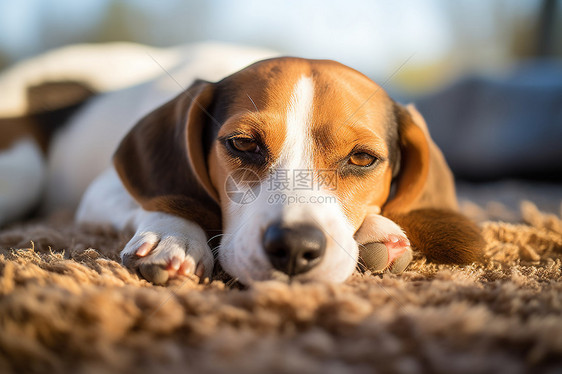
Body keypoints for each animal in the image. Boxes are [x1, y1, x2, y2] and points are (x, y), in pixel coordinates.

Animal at [0, 42, 482, 284]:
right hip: (23, 170)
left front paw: (380, 232)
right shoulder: (102, 190)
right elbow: (170, 201)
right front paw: (175, 238)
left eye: (362, 158)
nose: (294, 248)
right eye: (243, 144)